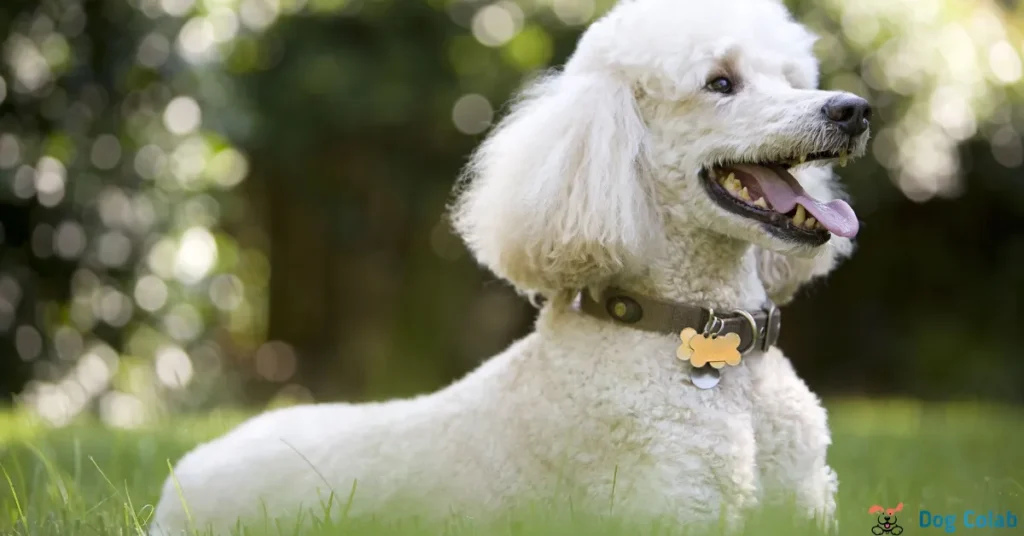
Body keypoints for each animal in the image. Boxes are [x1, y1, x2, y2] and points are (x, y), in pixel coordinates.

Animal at [151, 0, 868, 532]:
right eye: (720, 82)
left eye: (792, 78)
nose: (855, 111)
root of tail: (181, 473)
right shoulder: (669, 507)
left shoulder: (805, 504)